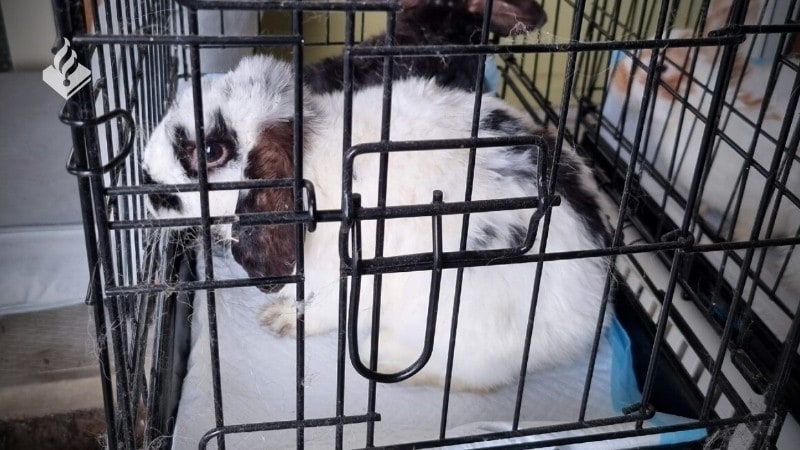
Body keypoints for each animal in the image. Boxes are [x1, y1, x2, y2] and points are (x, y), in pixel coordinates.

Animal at [142, 55, 612, 391]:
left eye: (212, 151)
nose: (146, 185)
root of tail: (590, 319)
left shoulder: (345, 282)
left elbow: (321, 312)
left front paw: (281, 320)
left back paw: (381, 355)